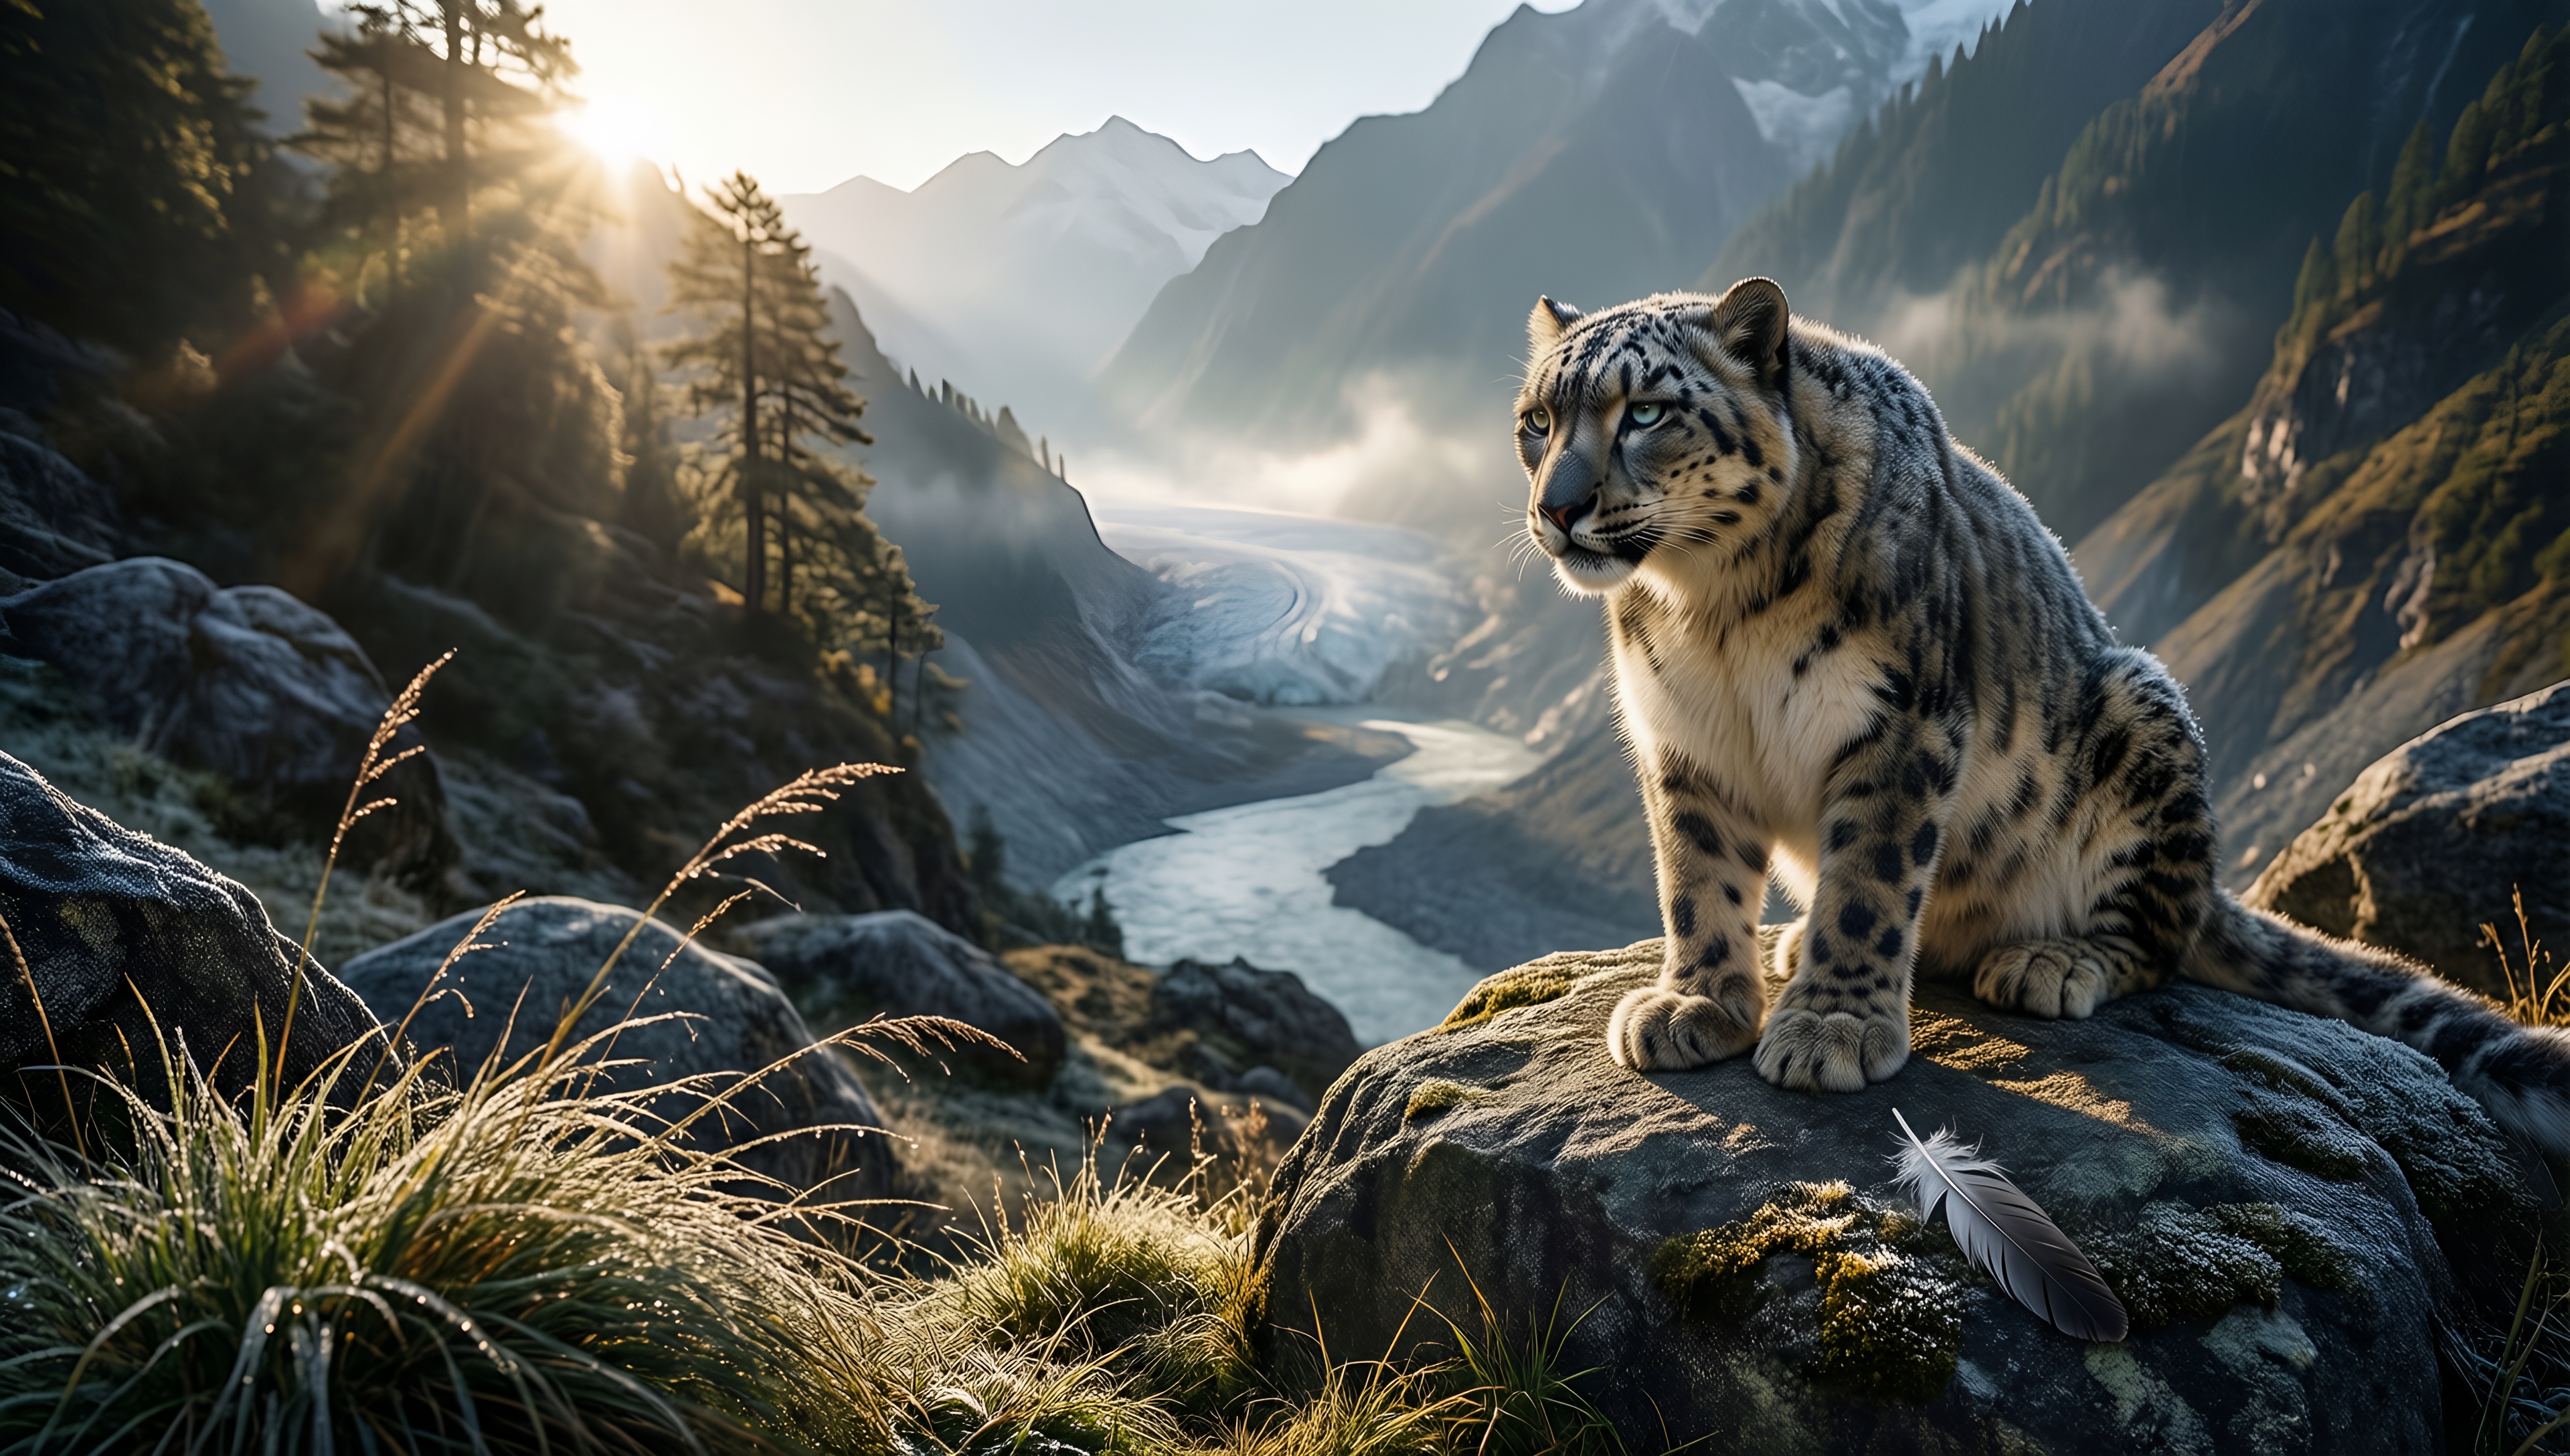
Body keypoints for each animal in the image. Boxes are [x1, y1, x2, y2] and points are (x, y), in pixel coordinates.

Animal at [1515, 276, 2570, 1155]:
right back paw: (1793, 938)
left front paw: (1832, 1025)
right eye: (1537, 420)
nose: (1557, 509)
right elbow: (1697, 881)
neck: (1712, 606)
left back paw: (2049, 963)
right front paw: (1695, 1006)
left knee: (2157, 938)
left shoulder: (1899, 725)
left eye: (1646, 411)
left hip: (2143, 715)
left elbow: (1871, 879)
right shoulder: (1685, 743)